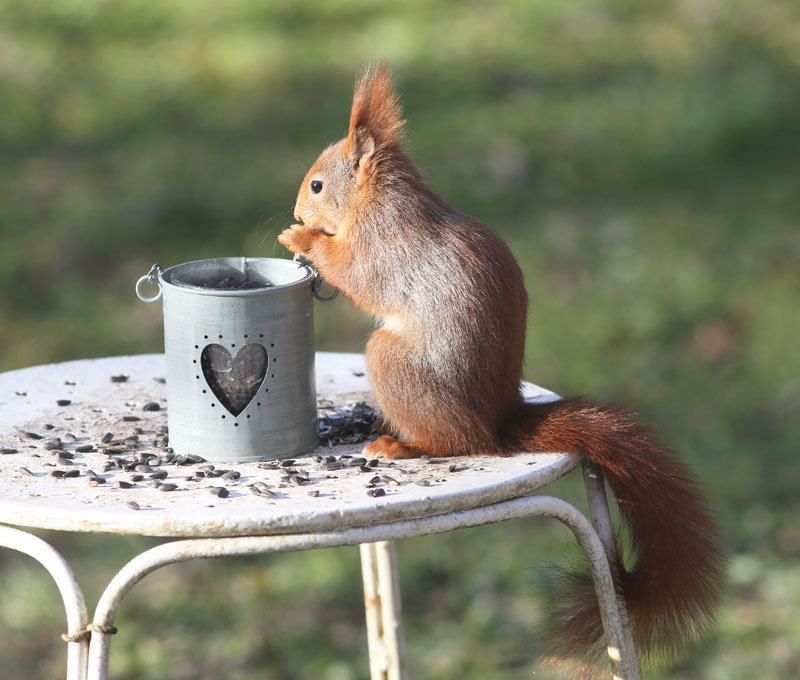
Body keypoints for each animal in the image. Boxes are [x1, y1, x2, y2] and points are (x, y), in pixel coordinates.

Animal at [282, 67, 724, 668]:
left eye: (317, 186)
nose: (297, 213)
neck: (380, 198)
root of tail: (500, 422)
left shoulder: (382, 243)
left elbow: (355, 272)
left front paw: (302, 240)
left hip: (397, 367)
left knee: (458, 442)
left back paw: (402, 444)